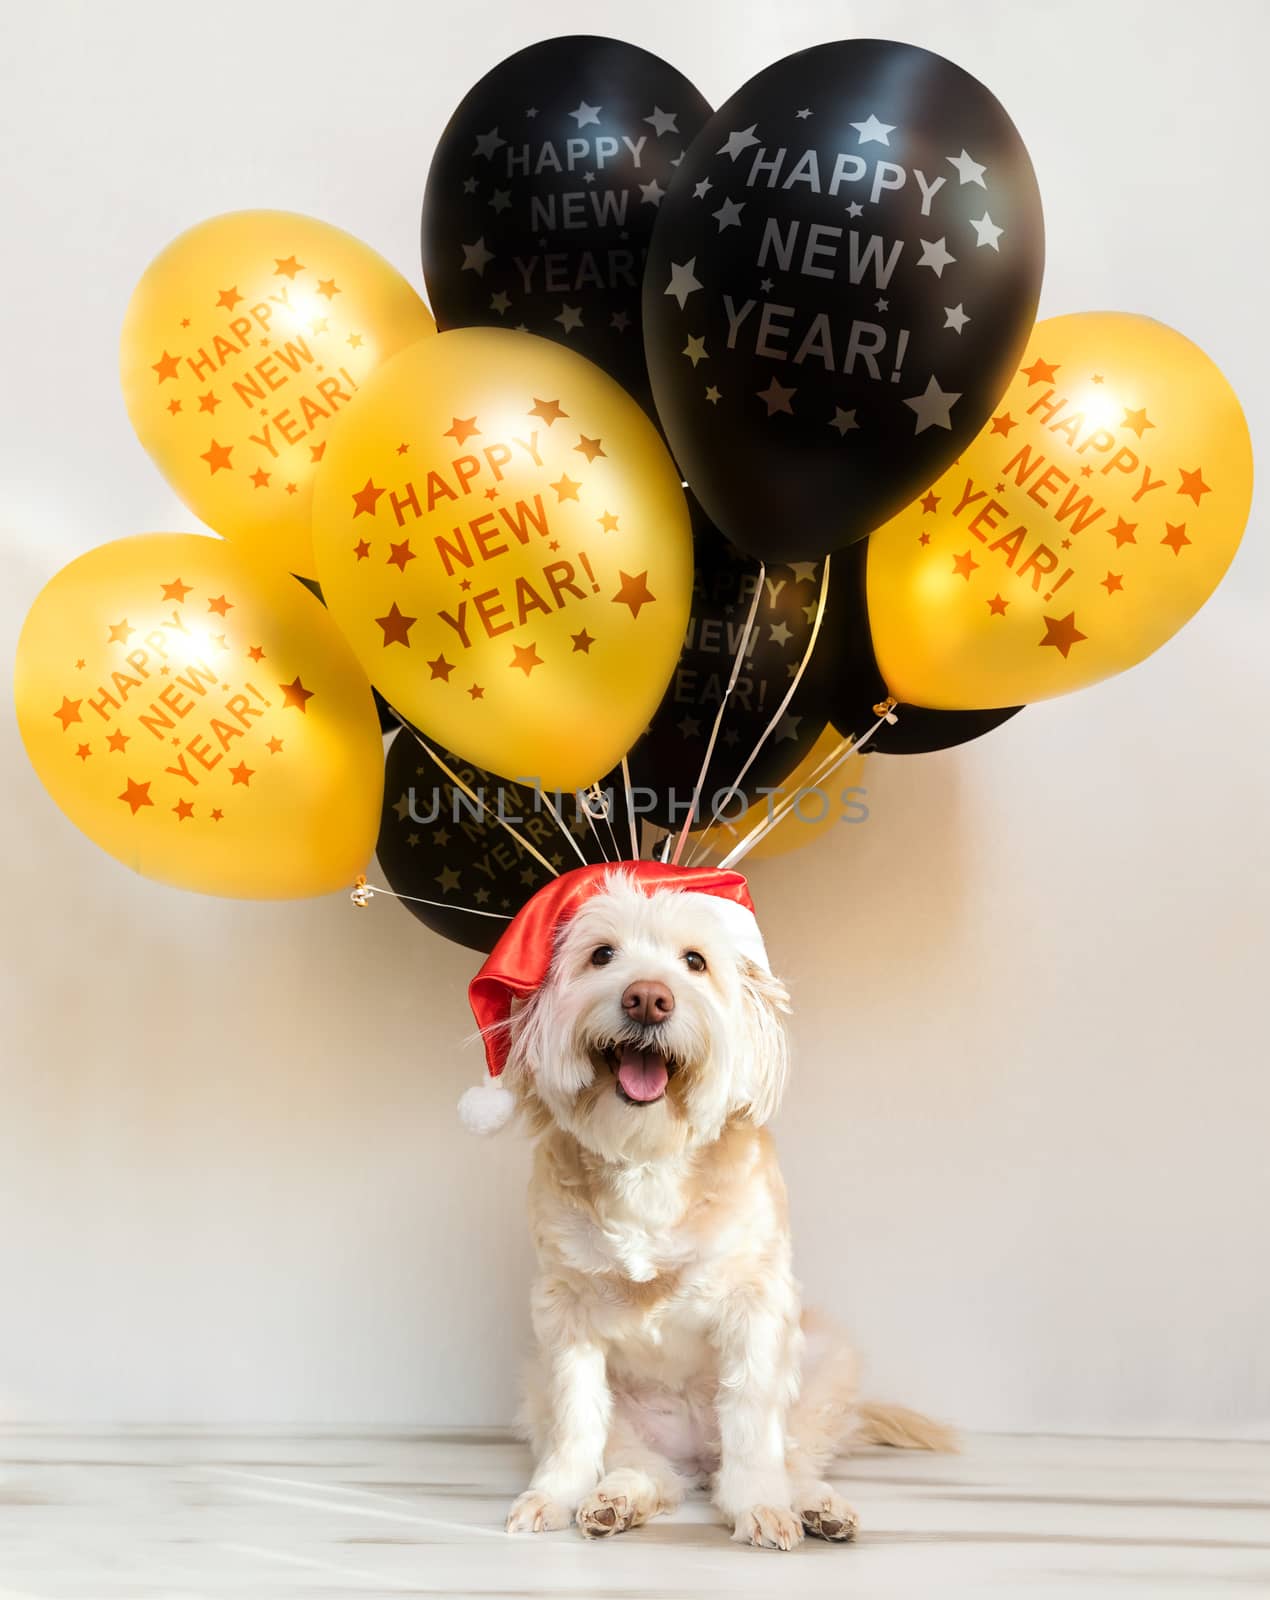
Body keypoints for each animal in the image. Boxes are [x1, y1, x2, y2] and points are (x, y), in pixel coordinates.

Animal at [486, 864, 946, 1548]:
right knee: (645, 1468)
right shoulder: (565, 1318)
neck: (650, 1159)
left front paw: (760, 1505)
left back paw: (814, 1505)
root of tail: (697, 1457)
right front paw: (556, 1494)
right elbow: (576, 1423)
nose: (647, 998)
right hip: (562, 1395)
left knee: (788, 1458)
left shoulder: (757, 1307)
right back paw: (617, 1499)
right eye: (601, 955)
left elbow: (754, 1426)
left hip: (821, 1363)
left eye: (695, 962)